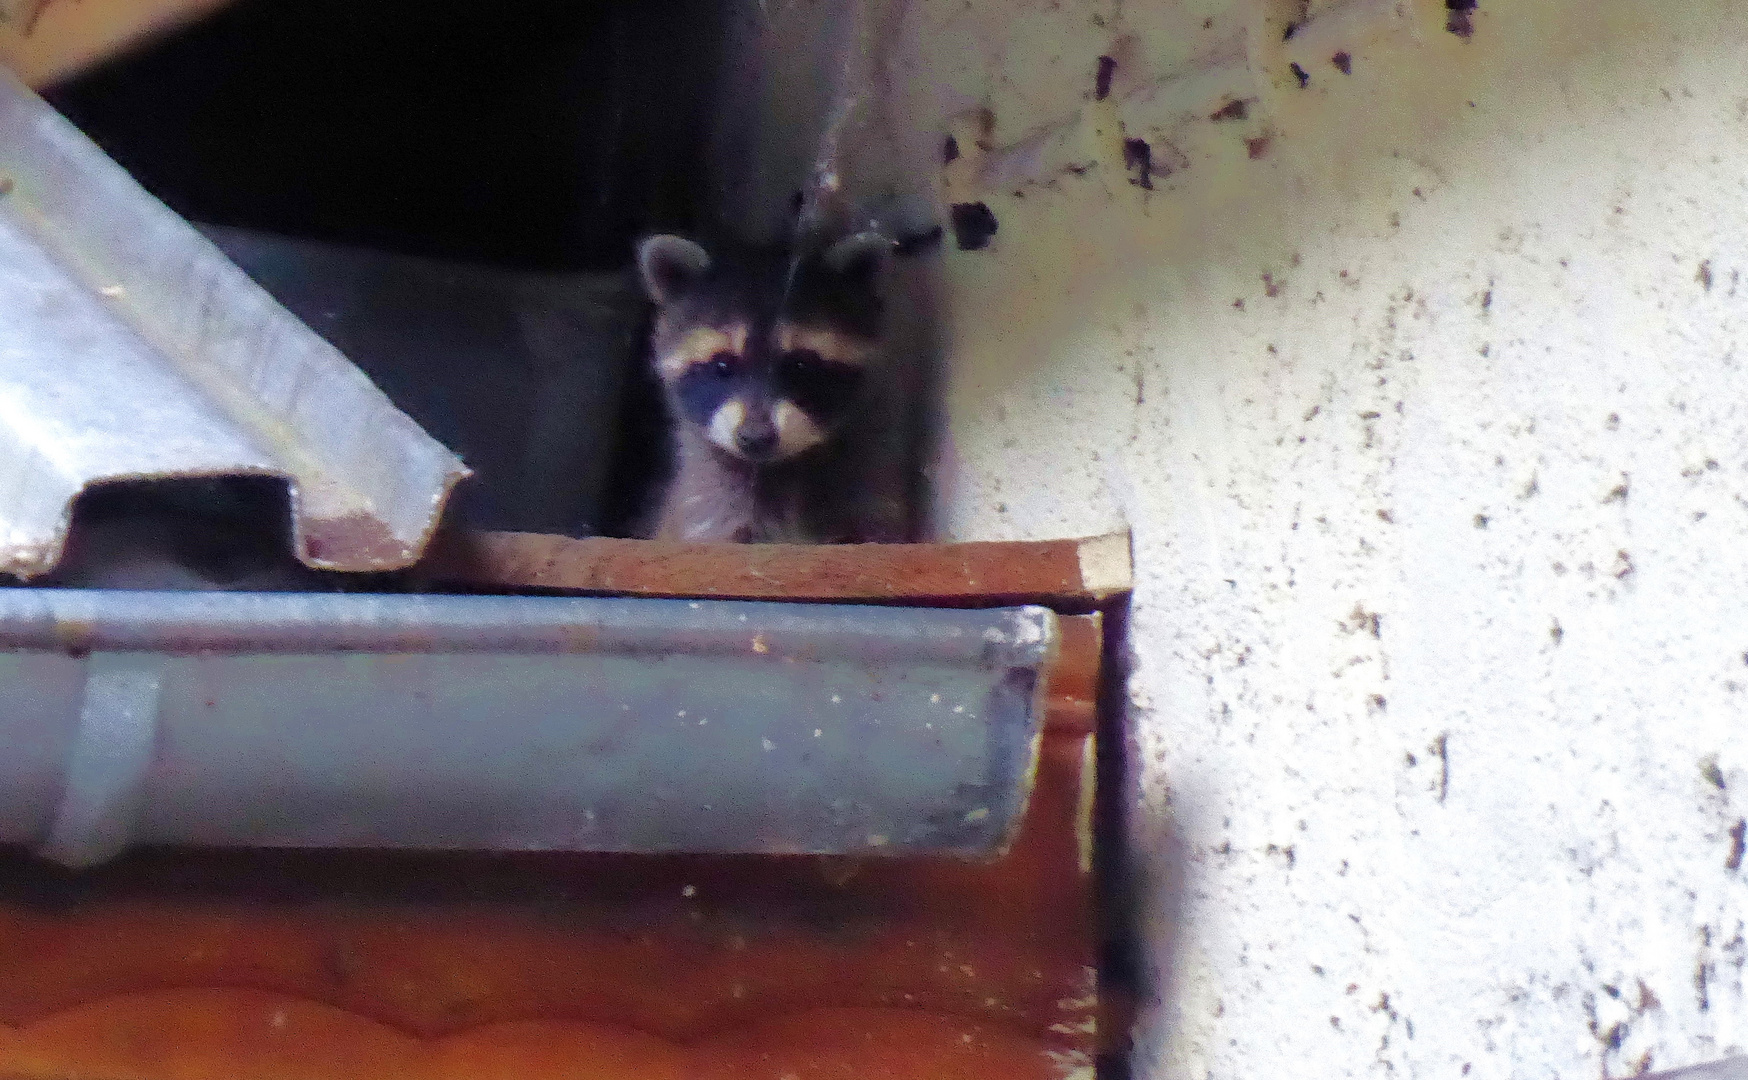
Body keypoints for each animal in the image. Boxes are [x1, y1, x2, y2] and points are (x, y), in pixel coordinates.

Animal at [639, 230, 915, 541]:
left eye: (801, 365)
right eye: (722, 365)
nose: (756, 437)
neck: (779, 468)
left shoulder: (872, 493)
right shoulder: (708, 505)